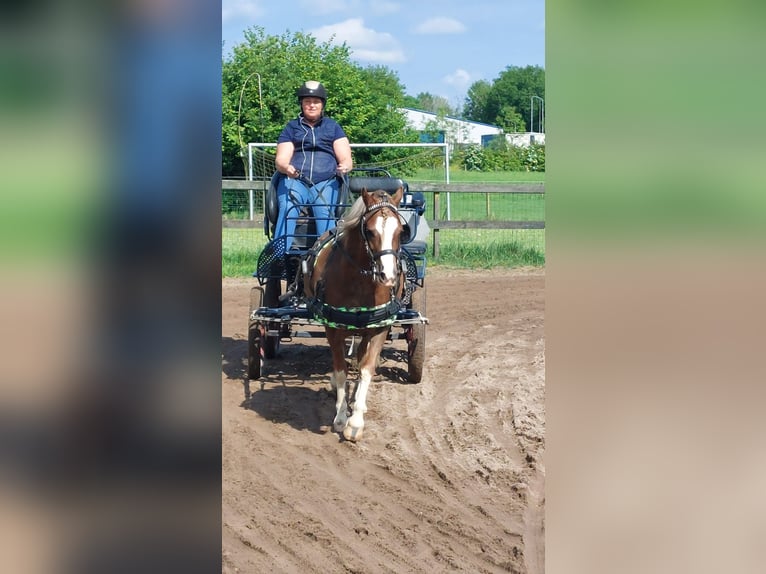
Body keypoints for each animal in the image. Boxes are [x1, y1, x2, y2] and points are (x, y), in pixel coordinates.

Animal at [304, 187, 408, 444]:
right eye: (369, 231)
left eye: (401, 231)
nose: (388, 276)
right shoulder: (333, 327)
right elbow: (341, 370)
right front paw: (342, 417)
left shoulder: (380, 327)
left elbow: (366, 369)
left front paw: (356, 421)